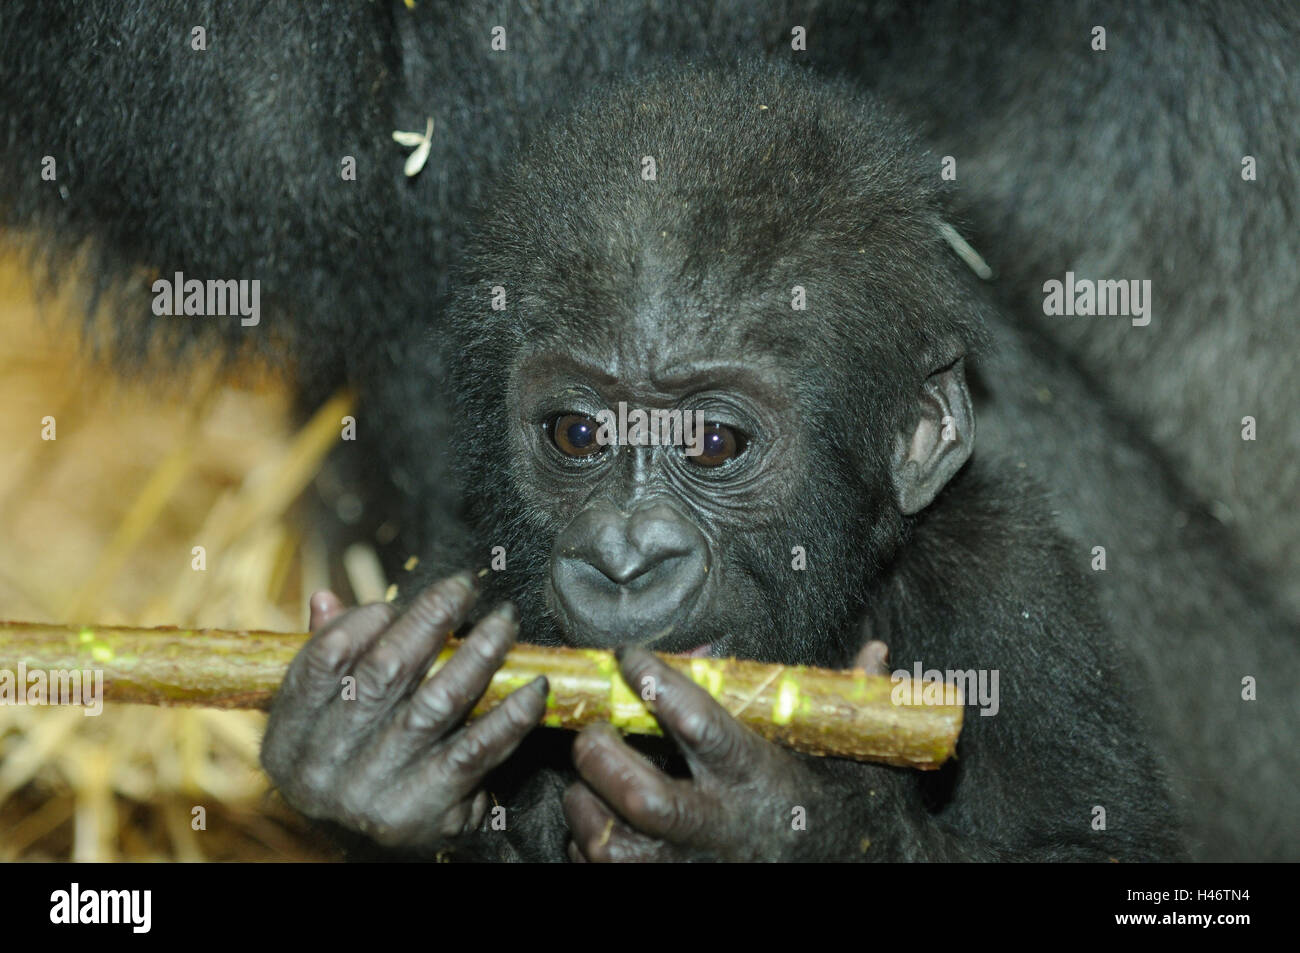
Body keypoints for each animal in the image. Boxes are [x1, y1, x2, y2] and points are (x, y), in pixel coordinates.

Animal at [261, 61, 1180, 863]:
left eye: (713, 443)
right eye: (576, 435)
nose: (624, 560)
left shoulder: (1007, 574)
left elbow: (1089, 842)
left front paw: (781, 818)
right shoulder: (468, 568)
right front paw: (373, 768)